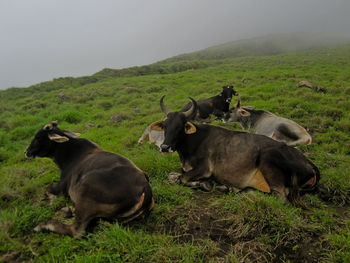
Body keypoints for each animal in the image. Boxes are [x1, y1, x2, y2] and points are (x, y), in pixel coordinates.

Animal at [25, 121, 154, 239]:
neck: (69, 155)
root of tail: (145, 188)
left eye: (38, 137)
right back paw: (70, 210)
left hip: (84, 196)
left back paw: (44, 225)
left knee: (76, 231)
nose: (26, 152)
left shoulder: (63, 187)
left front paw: (50, 201)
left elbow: (48, 187)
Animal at [150, 97, 320, 206]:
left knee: (279, 197)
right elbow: (176, 175)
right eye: (165, 126)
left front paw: (204, 184)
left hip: (268, 159)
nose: (164, 147)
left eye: (181, 126)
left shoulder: (204, 169)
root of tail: (310, 164)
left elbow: (183, 178)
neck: (194, 141)